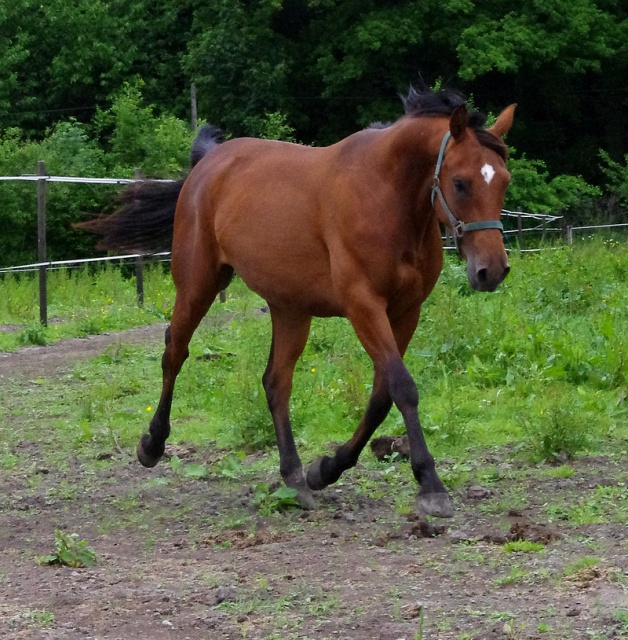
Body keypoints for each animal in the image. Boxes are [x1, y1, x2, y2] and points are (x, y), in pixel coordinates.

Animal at [79, 87, 516, 516]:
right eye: (460, 183)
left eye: (504, 181)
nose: (491, 270)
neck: (386, 196)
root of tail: (209, 163)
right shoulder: (363, 306)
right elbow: (402, 387)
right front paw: (431, 485)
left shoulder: (406, 311)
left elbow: (381, 396)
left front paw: (326, 468)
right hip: (198, 284)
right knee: (175, 350)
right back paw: (153, 444)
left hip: (290, 309)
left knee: (276, 382)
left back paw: (294, 478)